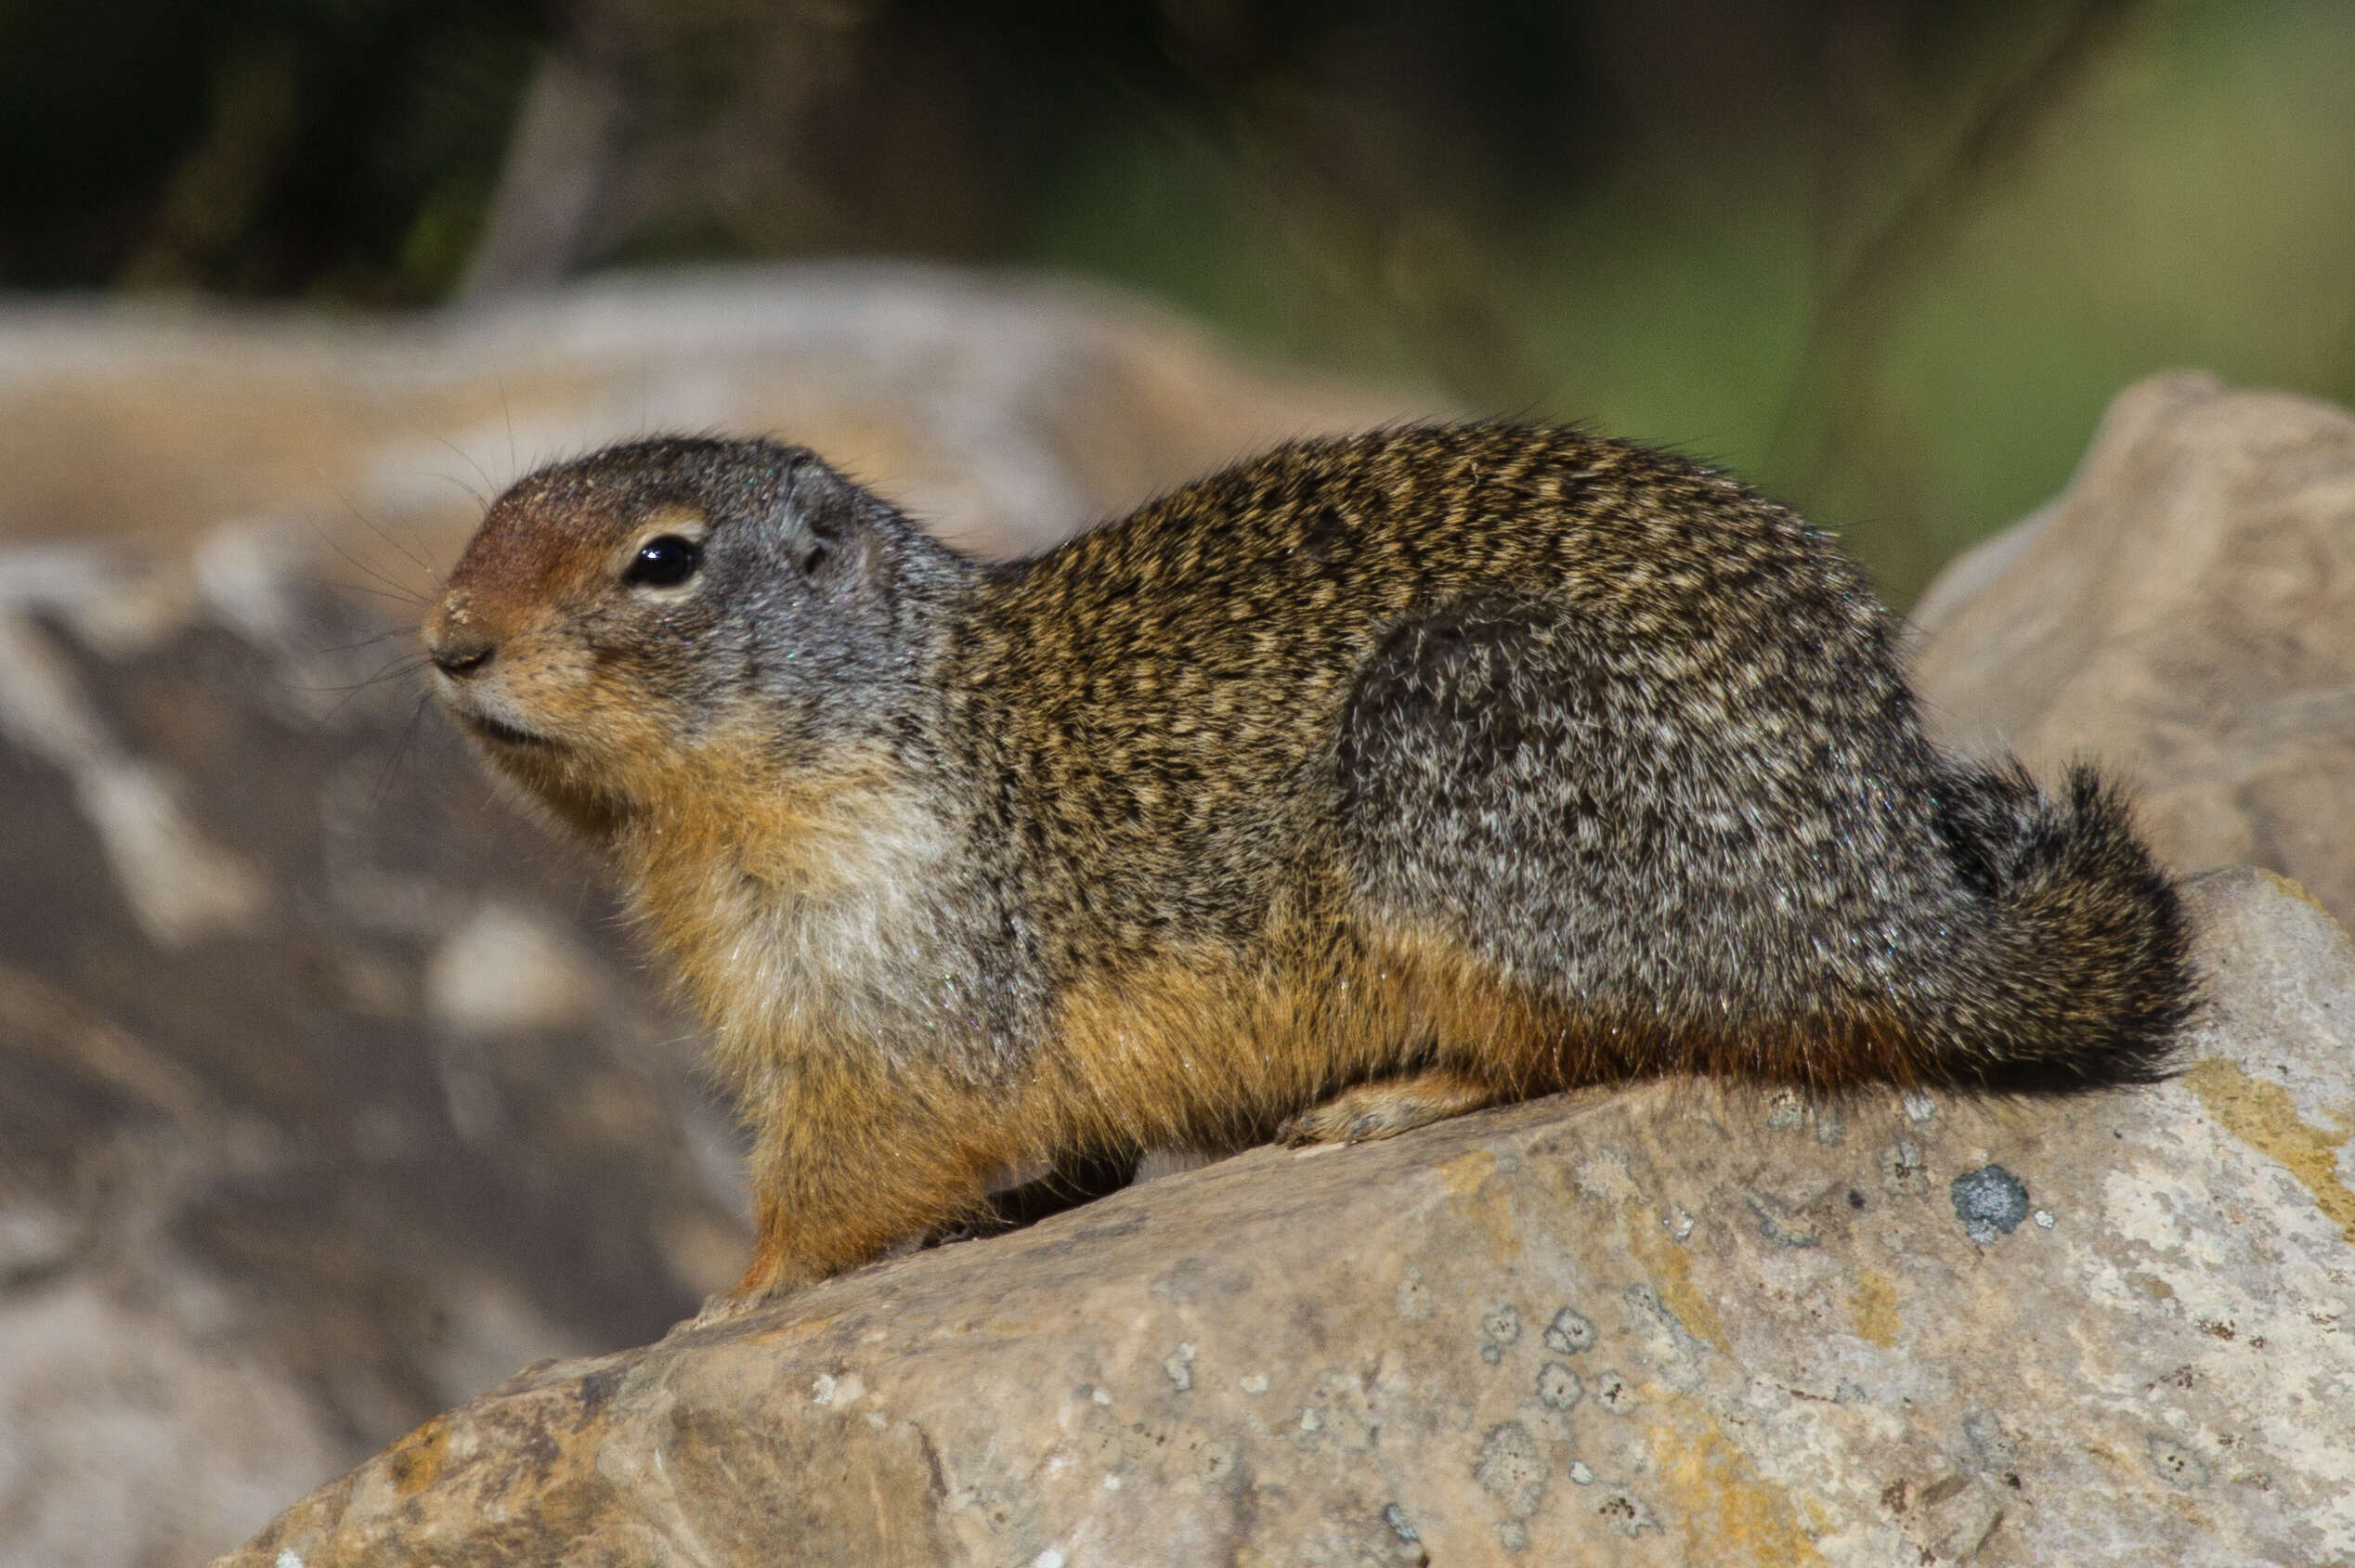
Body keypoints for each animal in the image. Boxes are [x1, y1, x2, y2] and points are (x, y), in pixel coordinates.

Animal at [419, 421, 2185, 1299]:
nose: (445, 638)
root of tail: (1894, 902)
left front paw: (731, 1293)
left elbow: (873, 1137)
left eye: (662, 559)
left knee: (1622, 1028)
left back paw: (1389, 1094)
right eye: (486, 518)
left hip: (1475, 750)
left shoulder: (887, 939)